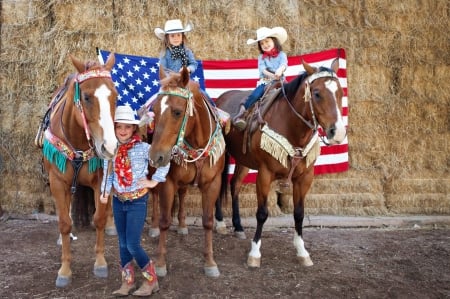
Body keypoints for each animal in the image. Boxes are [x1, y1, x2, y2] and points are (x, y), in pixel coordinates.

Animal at [42, 54, 118, 288]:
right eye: (86, 96)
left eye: (116, 96)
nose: (109, 147)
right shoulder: (58, 182)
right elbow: (64, 223)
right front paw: (65, 270)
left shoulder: (100, 180)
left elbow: (99, 218)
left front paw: (100, 263)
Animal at [149, 67, 224, 278]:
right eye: (154, 111)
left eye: (177, 112)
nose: (156, 156)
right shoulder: (167, 182)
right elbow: (165, 220)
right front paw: (160, 263)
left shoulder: (213, 184)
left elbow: (208, 221)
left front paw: (210, 262)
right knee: (154, 196)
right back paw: (153, 227)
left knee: (182, 194)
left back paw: (182, 226)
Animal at [216, 58, 346, 268]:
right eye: (317, 93)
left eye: (340, 92)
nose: (338, 132)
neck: (291, 127)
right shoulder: (265, 173)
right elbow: (262, 213)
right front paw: (255, 253)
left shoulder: (304, 177)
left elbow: (299, 213)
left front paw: (302, 251)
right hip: (221, 154)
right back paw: (220, 223)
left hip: (244, 160)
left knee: (234, 185)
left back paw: (238, 226)